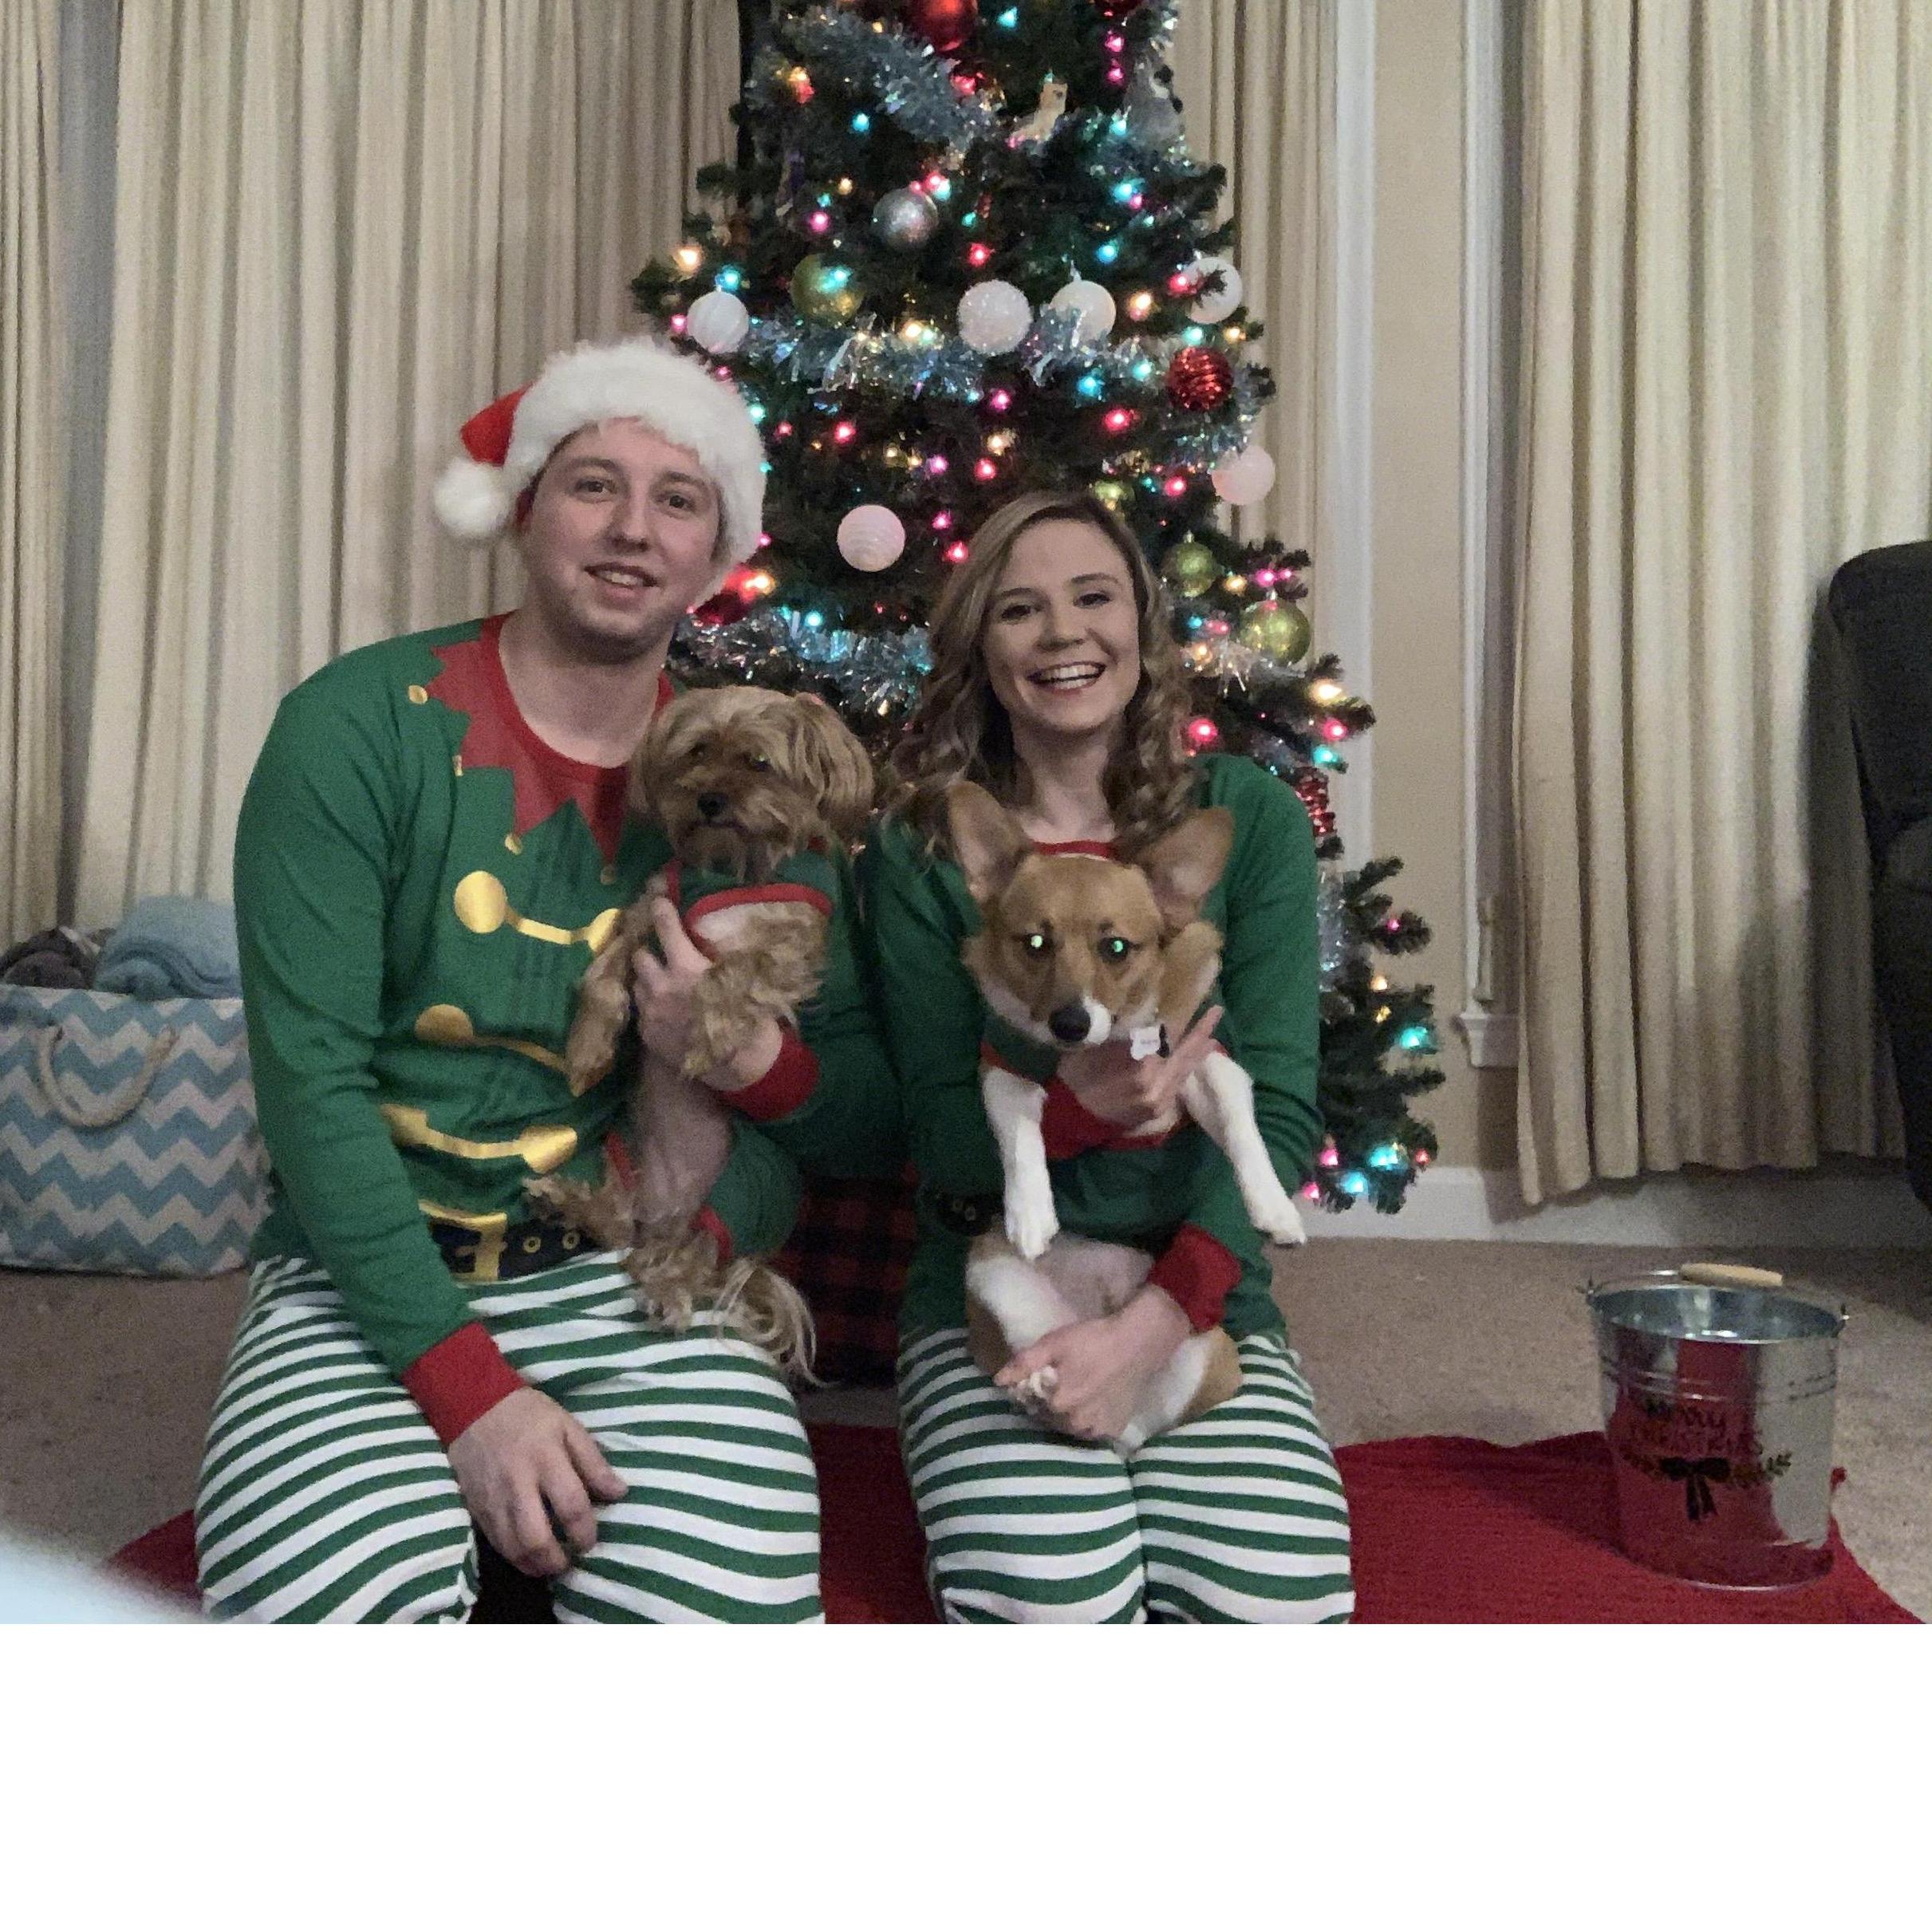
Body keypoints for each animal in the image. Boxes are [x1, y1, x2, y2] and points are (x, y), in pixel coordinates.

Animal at [527, 685, 874, 1377]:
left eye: (758, 762)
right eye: (697, 753)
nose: (710, 799)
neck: (730, 868)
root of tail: (668, 1218)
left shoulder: (788, 950)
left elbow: (729, 971)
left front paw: (708, 1038)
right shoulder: (649, 913)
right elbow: (603, 979)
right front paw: (587, 1051)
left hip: (751, 1189)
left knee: (697, 1256)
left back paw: (669, 1291)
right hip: (625, 1154)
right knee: (620, 1226)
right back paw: (569, 1201)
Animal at [945, 779, 1306, 1450]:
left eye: (1116, 948)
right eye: (1035, 944)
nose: (1070, 1022)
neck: (1108, 1045)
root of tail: (1130, 1425)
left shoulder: (1207, 1061)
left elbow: (1243, 1128)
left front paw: (1273, 1208)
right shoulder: (1003, 1067)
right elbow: (1021, 1135)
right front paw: (1031, 1212)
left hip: (1209, 1352)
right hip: (995, 1279)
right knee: (1041, 1358)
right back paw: (1037, 1387)